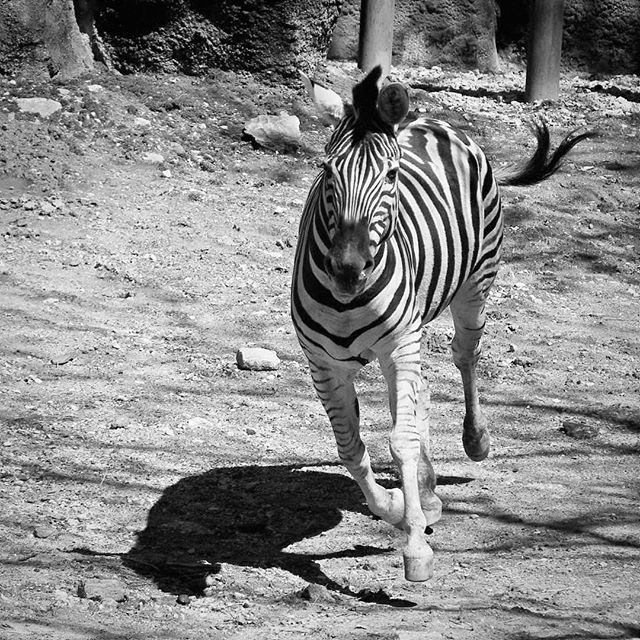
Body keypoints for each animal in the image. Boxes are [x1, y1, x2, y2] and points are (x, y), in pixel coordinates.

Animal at [291, 66, 592, 581]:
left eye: (391, 175)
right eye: (327, 172)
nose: (348, 270)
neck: (347, 302)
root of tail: (433, 121)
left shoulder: (399, 344)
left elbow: (402, 441)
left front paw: (414, 546)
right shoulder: (324, 364)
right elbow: (351, 447)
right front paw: (396, 506)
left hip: (475, 284)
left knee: (464, 354)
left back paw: (475, 441)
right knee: (419, 393)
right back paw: (427, 491)